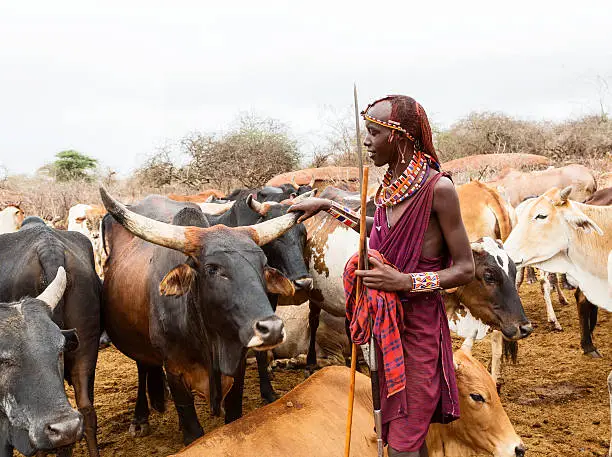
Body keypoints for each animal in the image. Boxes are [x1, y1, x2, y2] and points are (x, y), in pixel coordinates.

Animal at [100, 190, 298, 446]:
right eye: (212, 268)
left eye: (263, 264)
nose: (272, 328)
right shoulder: (175, 371)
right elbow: (193, 432)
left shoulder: (237, 366)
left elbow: (233, 417)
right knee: (143, 368)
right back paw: (140, 418)